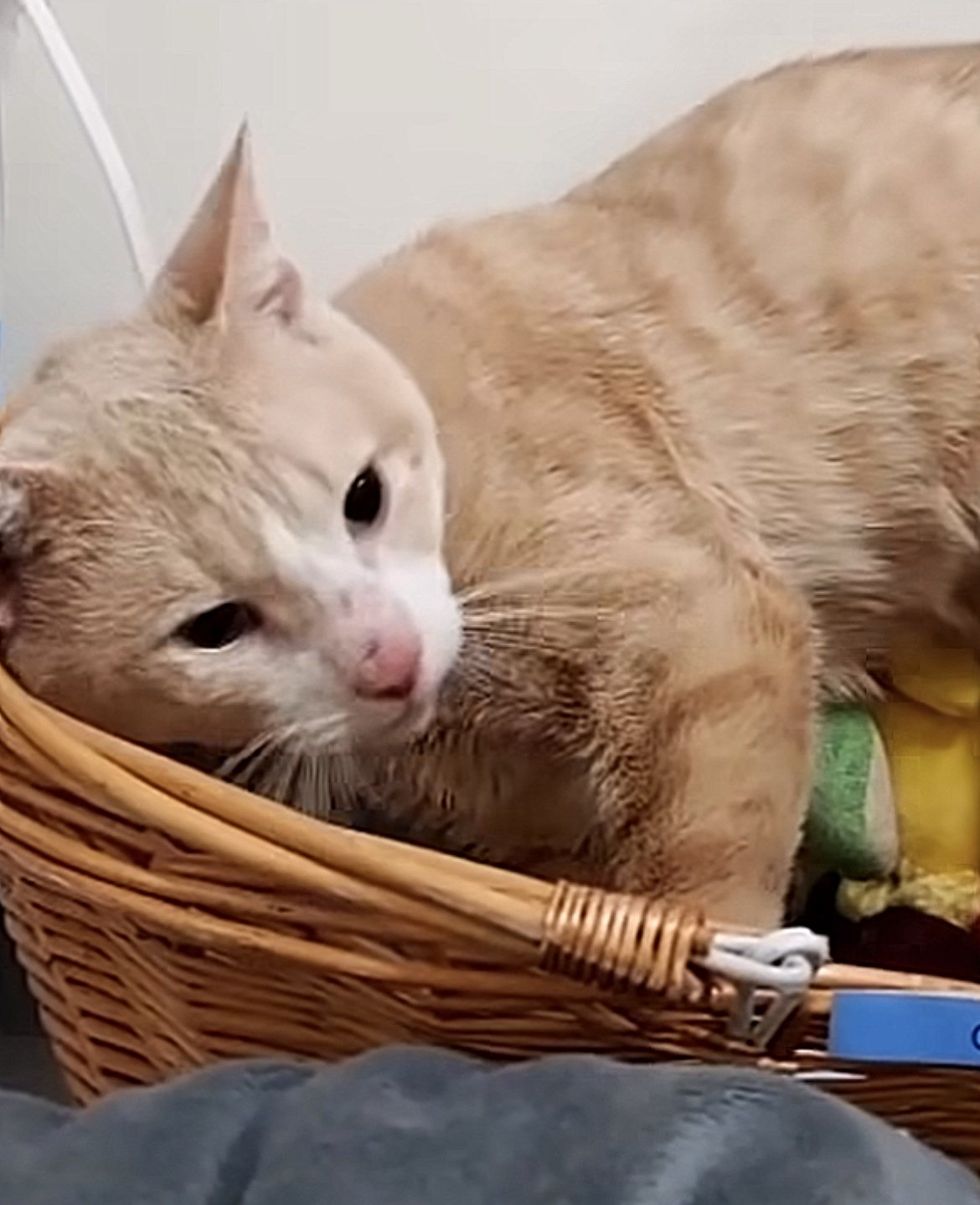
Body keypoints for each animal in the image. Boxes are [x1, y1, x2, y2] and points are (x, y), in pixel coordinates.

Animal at [1, 44, 978, 930]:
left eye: (364, 495)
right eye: (214, 627)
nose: (390, 661)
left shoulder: (698, 610)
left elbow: (704, 882)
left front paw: (695, 962)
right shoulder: (534, 835)